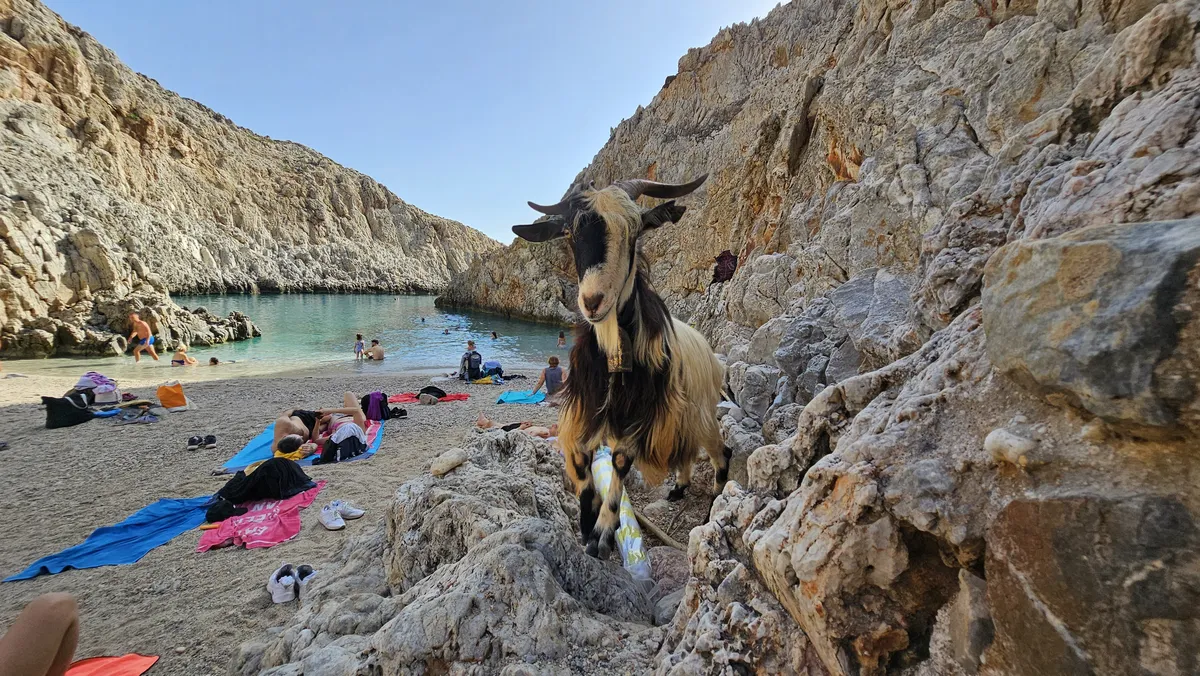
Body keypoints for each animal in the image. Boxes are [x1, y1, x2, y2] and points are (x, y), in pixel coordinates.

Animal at [512, 175, 730, 558]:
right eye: (569, 232)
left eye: (635, 229)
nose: (592, 301)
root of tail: (708, 349)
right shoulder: (587, 410)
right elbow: (582, 464)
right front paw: (586, 524)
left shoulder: (636, 416)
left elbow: (619, 463)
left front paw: (602, 533)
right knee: (686, 451)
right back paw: (679, 487)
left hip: (701, 411)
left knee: (720, 453)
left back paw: (711, 510)